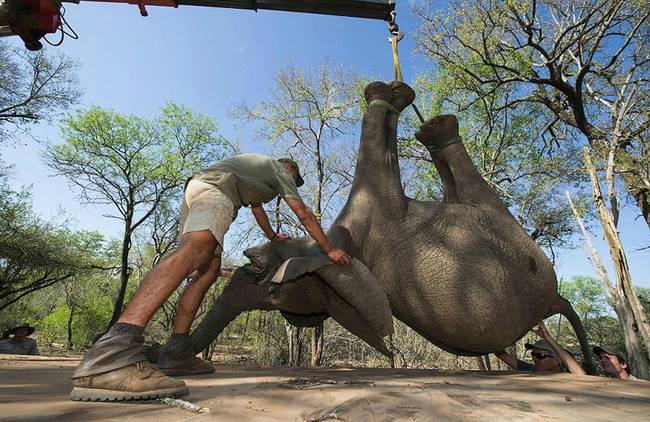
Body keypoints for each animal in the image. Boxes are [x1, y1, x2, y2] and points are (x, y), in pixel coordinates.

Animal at [182, 81, 592, 370]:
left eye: (259, 269)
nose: (172, 353)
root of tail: (551, 301)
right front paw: (390, 96)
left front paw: (388, 95)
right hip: (509, 232)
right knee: (467, 184)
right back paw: (437, 131)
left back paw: (431, 128)